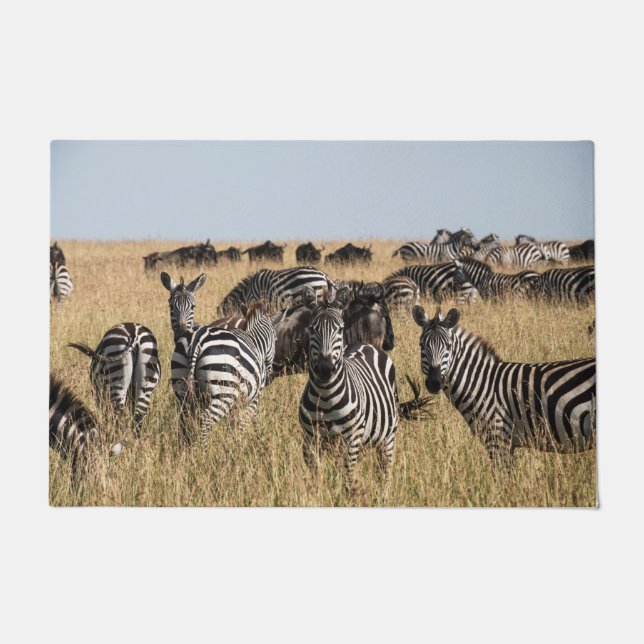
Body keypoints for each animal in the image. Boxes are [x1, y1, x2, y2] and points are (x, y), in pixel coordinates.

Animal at [170, 301, 276, 443]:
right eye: (275, 338)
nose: (270, 373)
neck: (255, 341)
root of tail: (197, 339)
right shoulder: (254, 397)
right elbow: (245, 421)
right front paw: (239, 442)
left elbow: (233, 423)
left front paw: (232, 441)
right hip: (224, 391)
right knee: (206, 420)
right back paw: (204, 448)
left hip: (181, 388)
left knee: (184, 421)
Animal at [299, 287, 430, 491]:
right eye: (312, 329)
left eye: (340, 329)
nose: (325, 368)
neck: (325, 396)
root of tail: (364, 344)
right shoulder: (310, 441)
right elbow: (315, 479)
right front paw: (318, 494)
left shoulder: (351, 440)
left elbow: (347, 478)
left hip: (387, 437)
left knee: (384, 471)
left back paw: (383, 494)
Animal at [412, 306, 596, 470]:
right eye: (421, 345)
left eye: (448, 347)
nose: (434, 383)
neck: (482, 384)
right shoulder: (506, 443)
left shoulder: (497, 437)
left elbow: (504, 482)